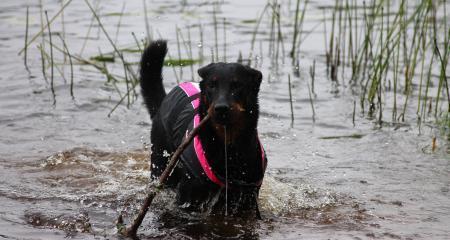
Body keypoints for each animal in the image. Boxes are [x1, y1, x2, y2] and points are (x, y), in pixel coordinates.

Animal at [141, 40, 266, 217]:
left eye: (237, 86)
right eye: (212, 85)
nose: (221, 108)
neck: (228, 146)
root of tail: (163, 102)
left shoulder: (247, 197)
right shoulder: (188, 196)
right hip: (161, 164)